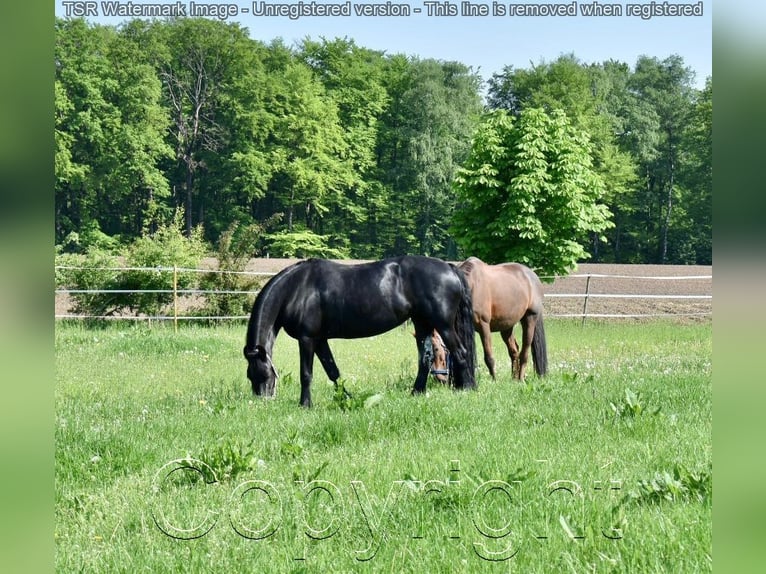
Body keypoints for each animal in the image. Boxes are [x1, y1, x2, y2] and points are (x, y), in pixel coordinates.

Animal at [243, 256, 476, 410]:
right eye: (249, 376)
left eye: (264, 374)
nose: (261, 402)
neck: (296, 288)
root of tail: (450, 268)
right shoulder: (320, 340)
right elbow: (333, 372)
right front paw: (347, 398)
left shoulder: (307, 339)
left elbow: (306, 374)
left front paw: (305, 405)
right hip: (422, 323)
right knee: (425, 358)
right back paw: (416, 392)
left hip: (443, 325)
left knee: (460, 353)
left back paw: (467, 389)